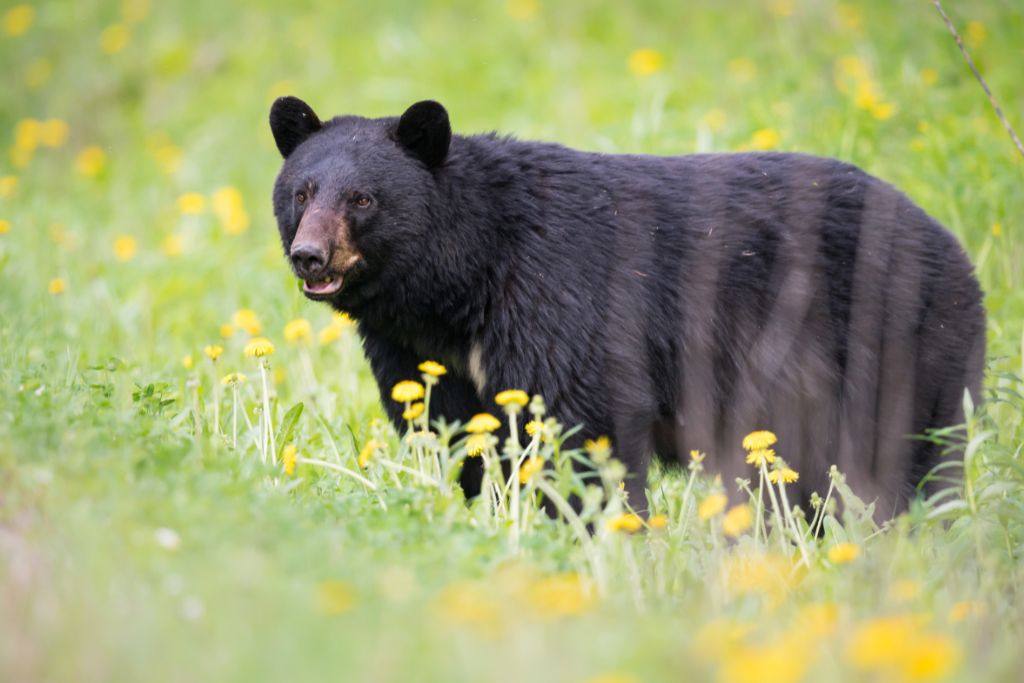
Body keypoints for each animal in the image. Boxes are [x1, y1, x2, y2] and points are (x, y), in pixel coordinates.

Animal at [270, 94, 983, 511]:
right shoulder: (417, 350)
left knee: (902, 458)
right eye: (302, 193)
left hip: (898, 342)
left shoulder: (558, 293)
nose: (310, 256)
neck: (462, 281)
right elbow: (457, 431)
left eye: (363, 199)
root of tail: (955, 247)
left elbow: (587, 417)